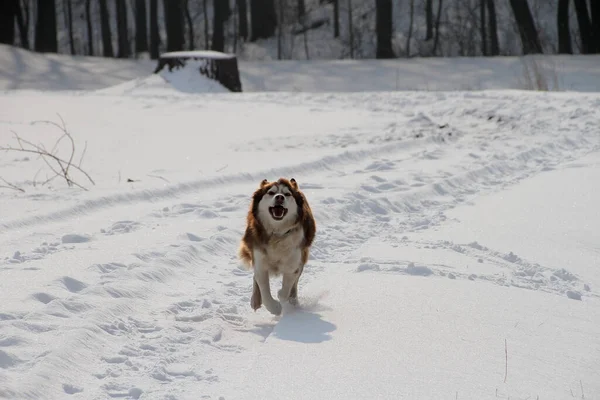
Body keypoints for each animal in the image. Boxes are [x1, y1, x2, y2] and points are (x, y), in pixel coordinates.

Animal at [238, 178, 316, 316]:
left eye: (287, 194)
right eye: (271, 192)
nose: (279, 197)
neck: (277, 233)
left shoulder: (293, 264)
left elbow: (286, 288)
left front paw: (281, 295)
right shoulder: (260, 260)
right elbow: (264, 289)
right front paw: (274, 308)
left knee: (294, 284)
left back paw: (293, 300)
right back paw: (255, 300)